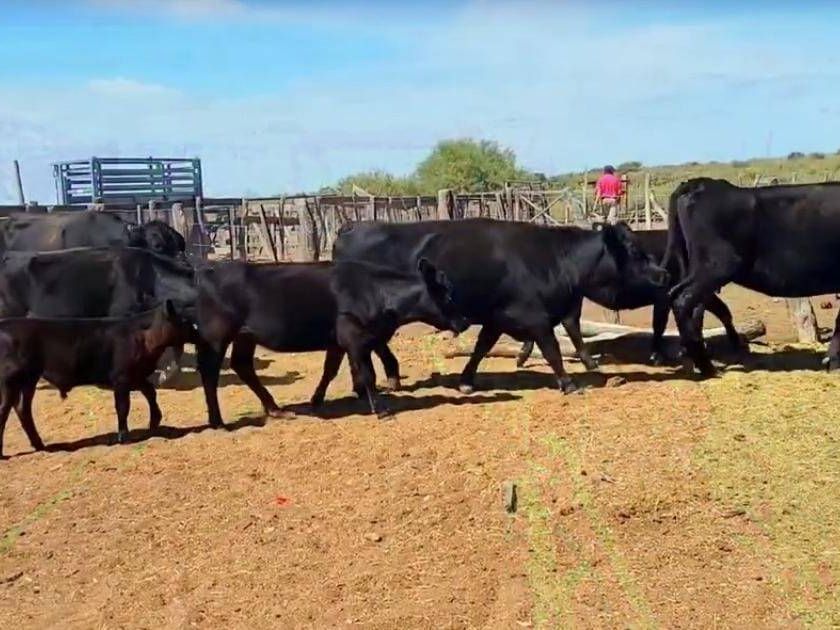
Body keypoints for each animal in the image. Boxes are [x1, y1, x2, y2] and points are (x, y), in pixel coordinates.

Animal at [0, 300, 195, 458]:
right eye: (185, 321)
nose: (197, 330)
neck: (144, 336)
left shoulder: (137, 375)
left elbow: (150, 392)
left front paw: (154, 422)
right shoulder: (122, 378)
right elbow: (123, 407)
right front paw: (123, 437)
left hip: (28, 379)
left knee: (22, 409)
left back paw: (40, 445)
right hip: (11, 379)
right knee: (5, 410)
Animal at [193, 257, 467, 425]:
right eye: (447, 295)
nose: (465, 321)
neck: (378, 293)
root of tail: (208, 271)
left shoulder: (337, 341)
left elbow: (330, 371)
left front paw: (316, 400)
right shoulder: (355, 338)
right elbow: (368, 374)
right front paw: (381, 410)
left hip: (245, 336)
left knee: (243, 366)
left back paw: (276, 409)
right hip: (216, 336)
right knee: (210, 372)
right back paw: (217, 421)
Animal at [333, 218, 669, 394]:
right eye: (635, 251)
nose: (663, 274)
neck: (554, 260)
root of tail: (351, 229)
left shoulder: (497, 318)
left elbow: (482, 347)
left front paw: (466, 380)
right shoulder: (536, 318)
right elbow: (552, 349)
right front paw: (568, 382)